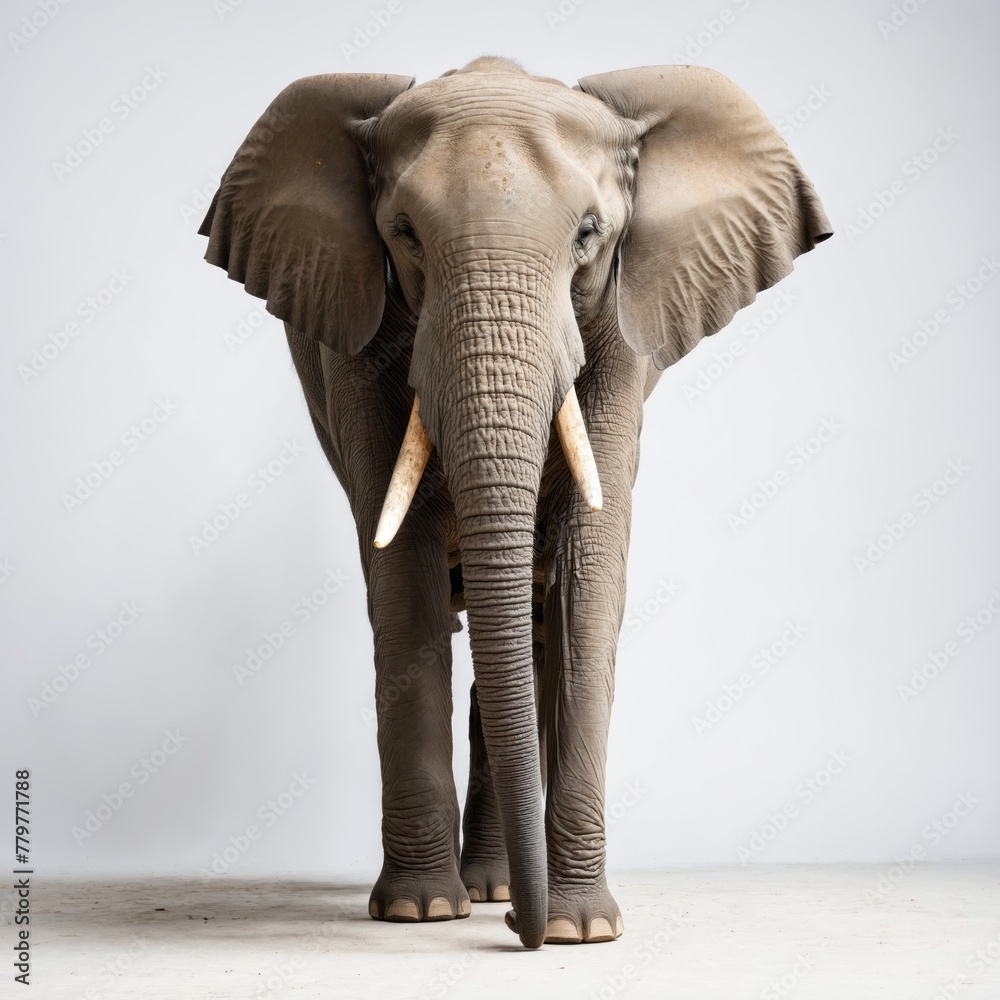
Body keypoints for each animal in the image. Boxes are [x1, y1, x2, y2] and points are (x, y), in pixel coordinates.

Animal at [198, 56, 831, 949]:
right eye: (404, 233)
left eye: (589, 234)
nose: (519, 936)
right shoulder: (355, 337)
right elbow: (402, 582)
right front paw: (421, 912)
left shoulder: (621, 329)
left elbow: (589, 581)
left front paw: (580, 930)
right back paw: (475, 892)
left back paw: (499, 886)